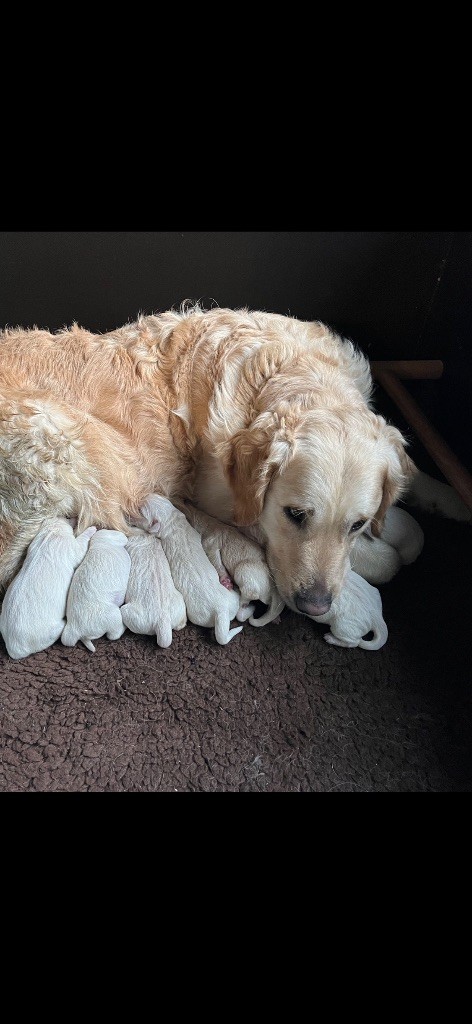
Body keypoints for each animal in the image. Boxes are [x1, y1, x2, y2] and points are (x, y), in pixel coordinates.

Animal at [0, 307, 464, 610]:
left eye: (358, 523)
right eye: (295, 514)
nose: (314, 605)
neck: (285, 373)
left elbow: (412, 476)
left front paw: (452, 497)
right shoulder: (232, 504)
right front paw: (389, 553)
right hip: (62, 447)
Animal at [0, 516, 95, 659]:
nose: (73, 517)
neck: (51, 532)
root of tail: (13, 648)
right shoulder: (72, 547)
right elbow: (80, 545)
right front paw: (93, 528)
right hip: (50, 633)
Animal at [139, 491, 246, 643]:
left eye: (142, 511)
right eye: (156, 496)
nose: (142, 498)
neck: (172, 520)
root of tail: (221, 611)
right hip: (230, 603)